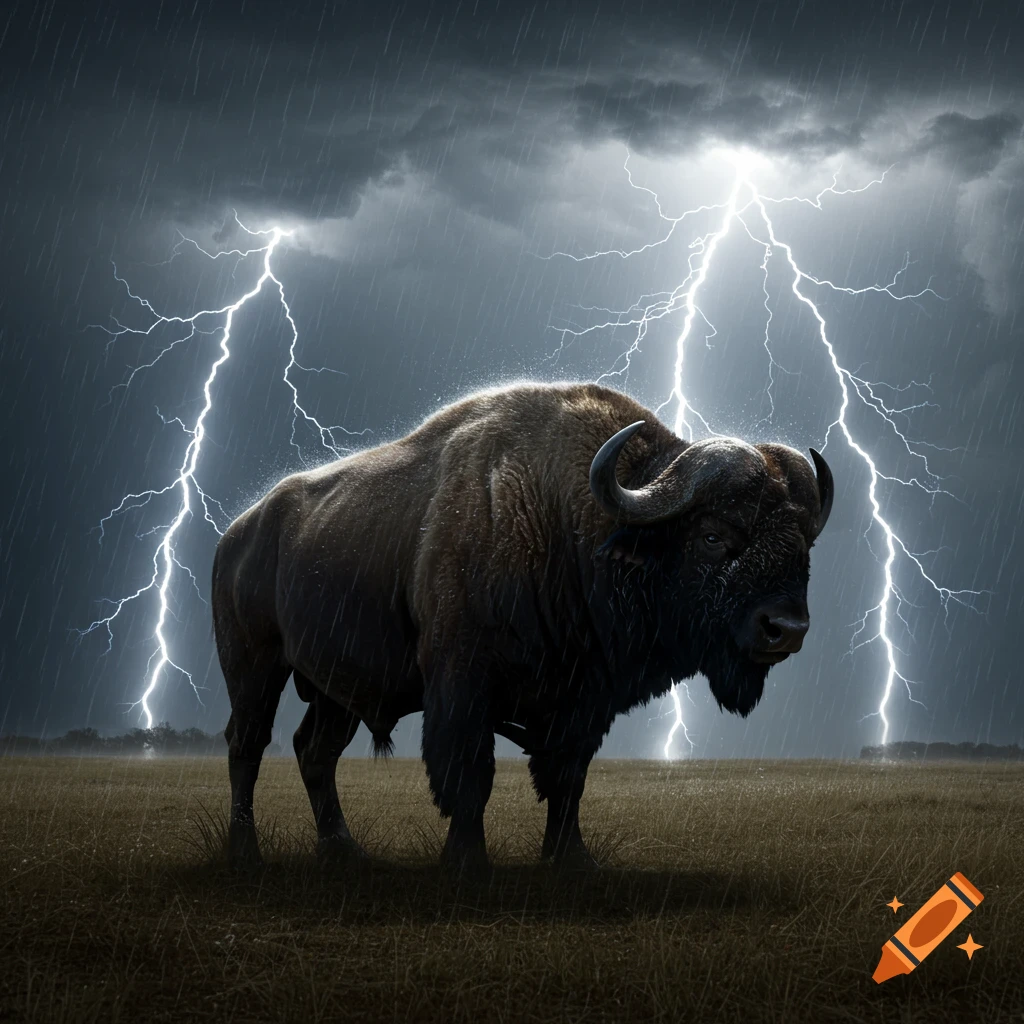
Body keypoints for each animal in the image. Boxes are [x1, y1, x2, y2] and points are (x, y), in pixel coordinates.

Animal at [212, 381, 833, 873]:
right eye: (711, 535)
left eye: (804, 542)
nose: (786, 628)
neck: (569, 521)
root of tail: (238, 532)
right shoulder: (464, 687)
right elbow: (471, 774)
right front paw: (467, 862)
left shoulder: (584, 702)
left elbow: (566, 779)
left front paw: (572, 860)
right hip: (255, 668)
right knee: (248, 745)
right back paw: (244, 851)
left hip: (333, 692)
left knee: (314, 751)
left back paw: (343, 849)